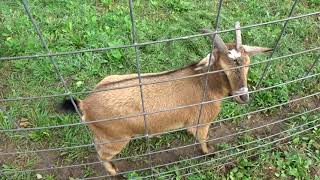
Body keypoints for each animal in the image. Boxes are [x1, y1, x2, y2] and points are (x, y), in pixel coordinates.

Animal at [60, 23, 270, 174]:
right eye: (224, 70)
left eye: (247, 65)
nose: (243, 96)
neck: (204, 81)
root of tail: (85, 104)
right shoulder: (202, 121)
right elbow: (202, 139)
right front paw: (208, 152)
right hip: (115, 139)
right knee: (102, 154)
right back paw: (114, 171)